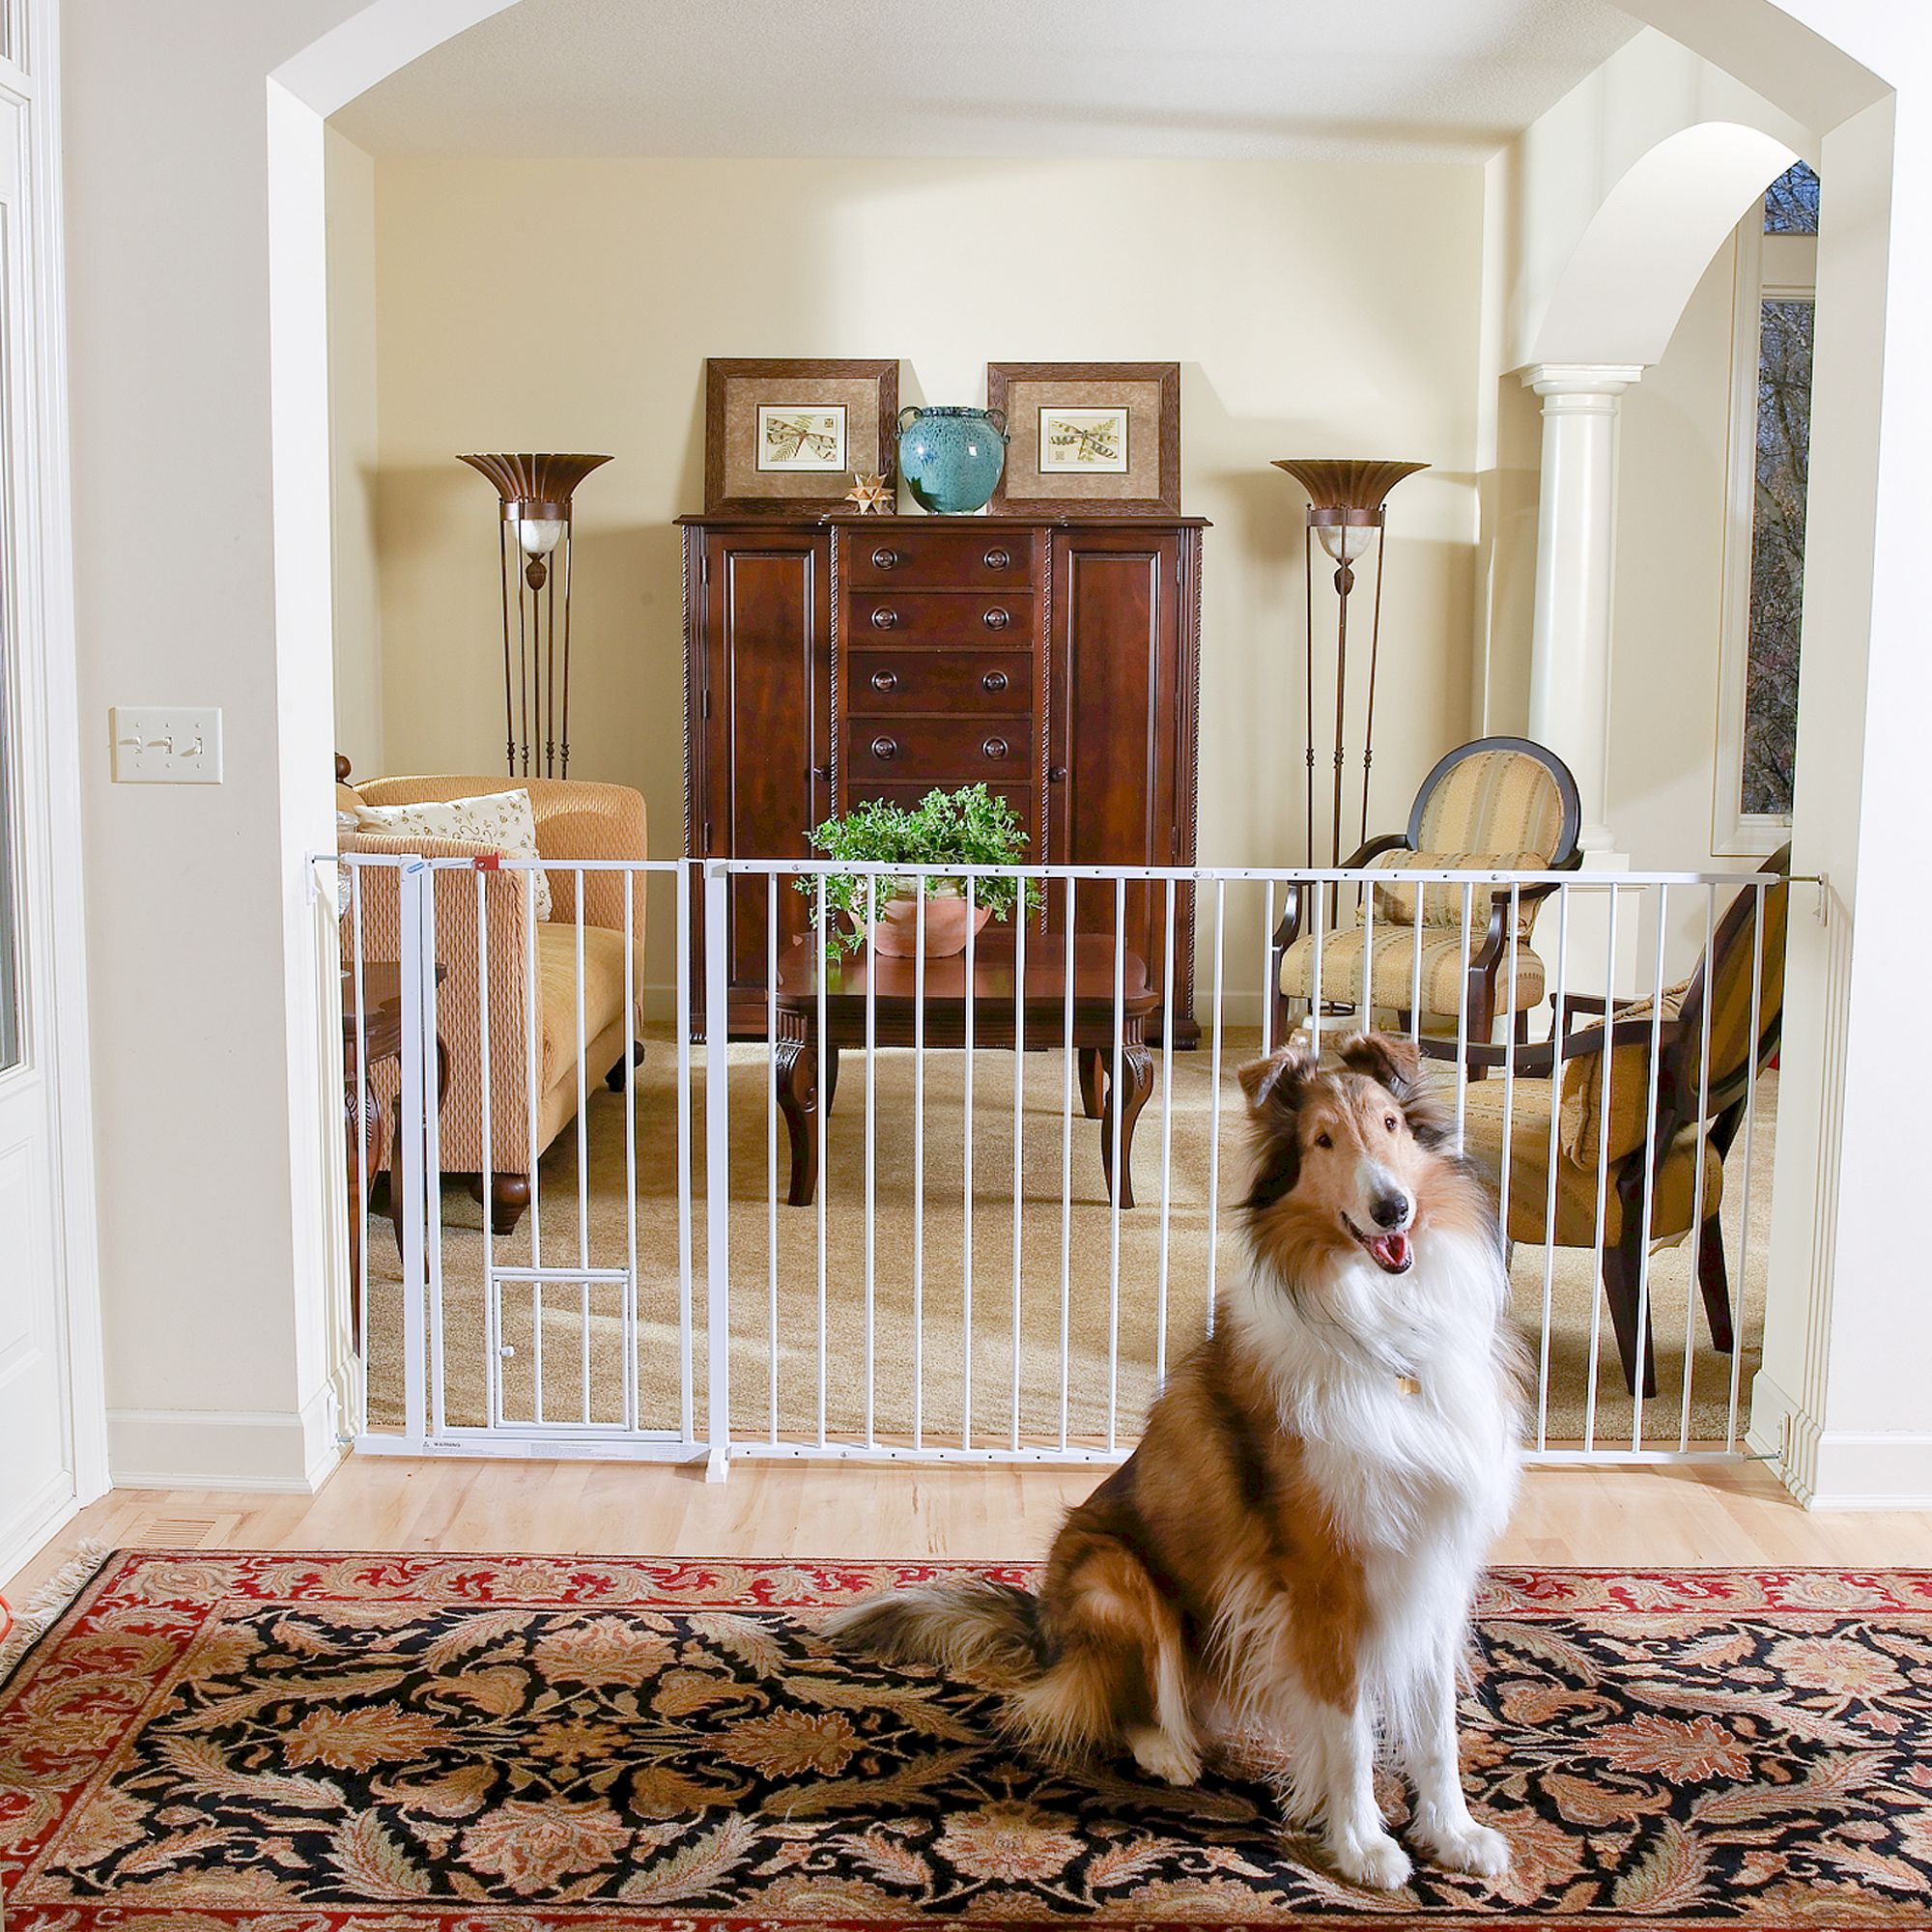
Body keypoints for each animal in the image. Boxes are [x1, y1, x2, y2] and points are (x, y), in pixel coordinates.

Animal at [831, 1028, 1522, 1886]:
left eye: (1392, 1124)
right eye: (1323, 1141)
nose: (1392, 1206)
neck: (1389, 1334)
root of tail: (1044, 1631)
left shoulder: (1434, 1565)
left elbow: (1435, 1732)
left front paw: (1454, 1834)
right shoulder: (1324, 1578)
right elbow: (1351, 1729)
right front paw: (1364, 1846)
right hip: (1116, 1578)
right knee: (1109, 1702)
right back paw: (1170, 1752)